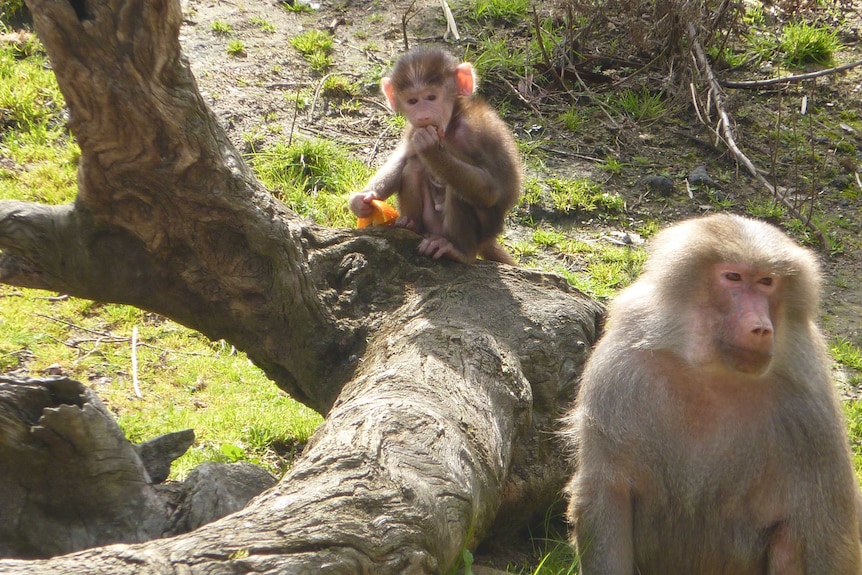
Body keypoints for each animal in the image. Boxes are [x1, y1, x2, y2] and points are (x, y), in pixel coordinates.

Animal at [349, 47, 522, 265]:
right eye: (413, 101)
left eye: (431, 97)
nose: (423, 115)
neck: (451, 124)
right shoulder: (413, 129)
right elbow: (402, 157)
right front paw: (362, 200)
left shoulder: (478, 131)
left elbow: (491, 191)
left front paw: (430, 149)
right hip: (431, 224)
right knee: (413, 167)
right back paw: (411, 225)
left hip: (482, 230)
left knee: (458, 191)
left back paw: (459, 251)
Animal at [560, 213, 862, 574]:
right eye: (732, 277)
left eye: (767, 281)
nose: (761, 328)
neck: (713, 373)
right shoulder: (620, 372)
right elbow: (608, 491)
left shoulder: (808, 402)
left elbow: (826, 529)